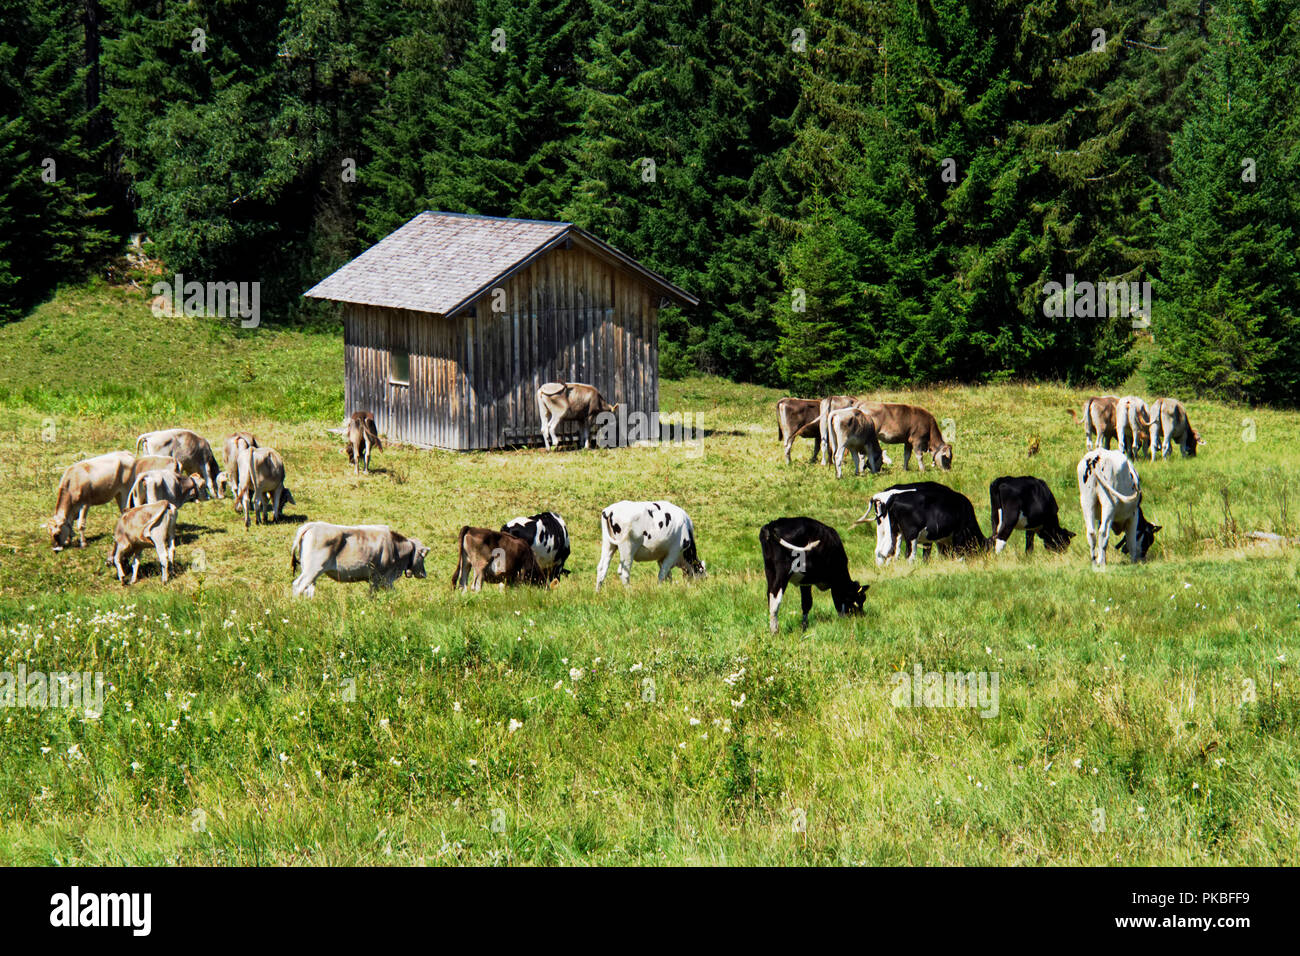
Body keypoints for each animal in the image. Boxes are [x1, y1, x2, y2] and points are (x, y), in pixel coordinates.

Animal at [290, 522, 429, 597]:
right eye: (423, 556)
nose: (424, 574)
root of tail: (312, 525)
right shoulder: (380, 577)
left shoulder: (382, 580)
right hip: (313, 569)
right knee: (298, 585)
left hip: (310, 570)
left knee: (308, 589)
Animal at [854, 482, 986, 564]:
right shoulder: (958, 533)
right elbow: (956, 554)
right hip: (908, 534)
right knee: (903, 554)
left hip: (885, 530)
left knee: (883, 552)